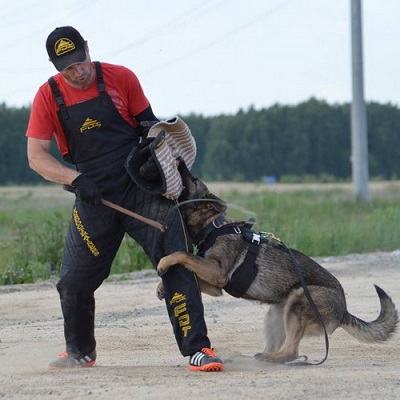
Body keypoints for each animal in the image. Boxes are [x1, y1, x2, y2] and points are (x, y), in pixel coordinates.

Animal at [157, 162, 396, 362]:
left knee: (292, 352)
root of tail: (344, 310)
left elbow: (184, 255)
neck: (212, 227)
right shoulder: (216, 285)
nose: (179, 160)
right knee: (285, 347)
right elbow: (194, 272)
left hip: (298, 302)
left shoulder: (217, 271)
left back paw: (272, 358)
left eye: (193, 179)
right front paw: (161, 286)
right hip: (276, 317)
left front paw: (165, 262)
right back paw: (261, 356)